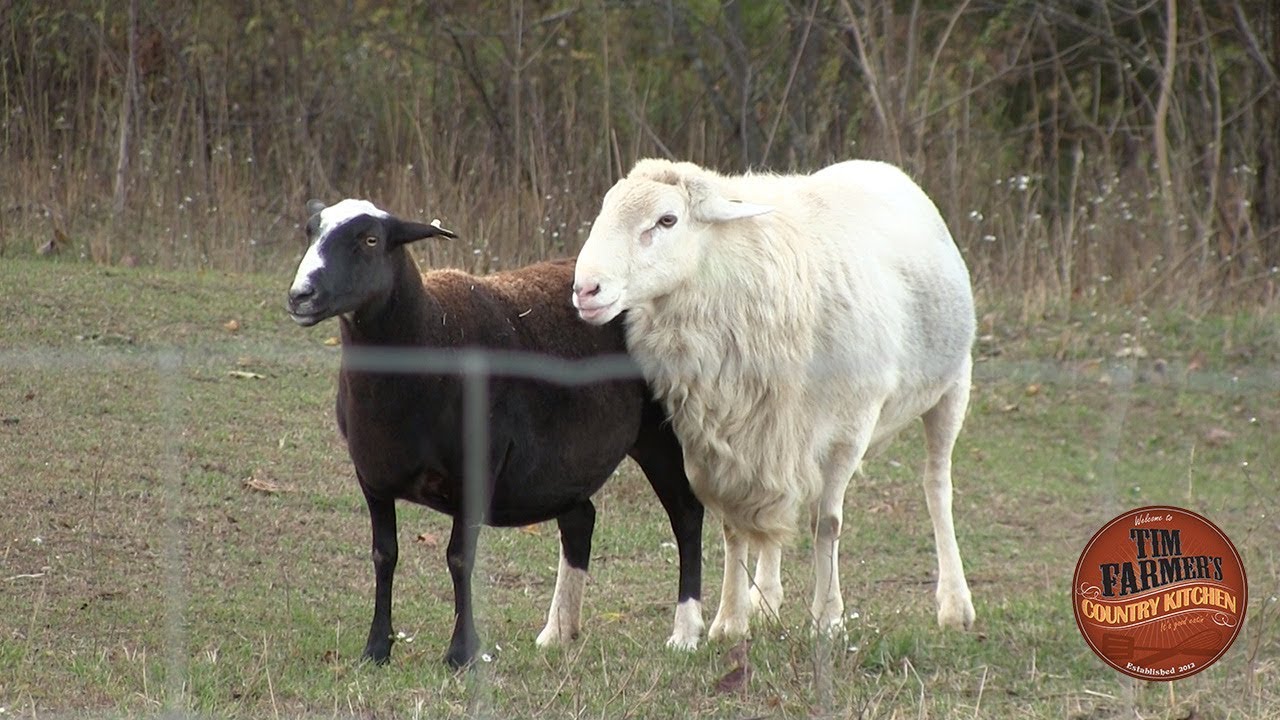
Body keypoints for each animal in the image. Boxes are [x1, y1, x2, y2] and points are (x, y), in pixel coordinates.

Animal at [286, 198, 704, 668]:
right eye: (310, 231)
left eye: (371, 239)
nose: (301, 296)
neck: (430, 332)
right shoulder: (371, 474)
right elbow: (384, 555)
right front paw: (376, 649)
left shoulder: (476, 467)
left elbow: (458, 559)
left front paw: (461, 653)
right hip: (563, 465)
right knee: (580, 520)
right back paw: (558, 631)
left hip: (661, 432)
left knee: (686, 515)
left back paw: (686, 631)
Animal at [572, 158, 976, 642]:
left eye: (666, 220)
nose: (585, 289)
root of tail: (878, 166)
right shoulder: (723, 432)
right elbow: (733, 526)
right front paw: (731, 619)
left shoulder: (849, 430)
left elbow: (827, 524)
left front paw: (828, 620)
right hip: (778, 429)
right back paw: (764, 597)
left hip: (953, 384)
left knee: (937, 487)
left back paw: (955, 604)